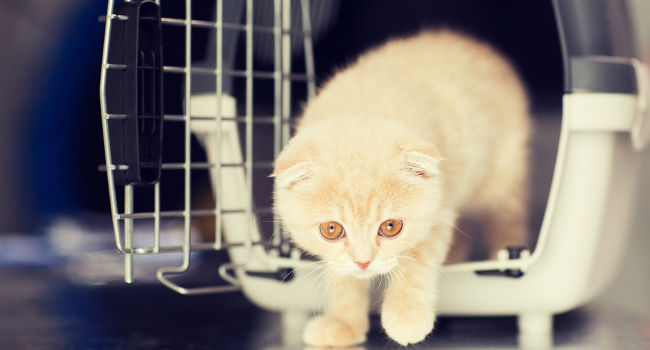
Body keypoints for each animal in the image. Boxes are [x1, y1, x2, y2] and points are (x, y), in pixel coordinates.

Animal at [268, 30, 528, 348]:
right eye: (331, 229)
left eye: (390, 227)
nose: (364, 262)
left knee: (508, 222)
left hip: (504, 176)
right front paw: (344, 323)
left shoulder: (439, 210)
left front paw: (406, 317)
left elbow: (417, 260)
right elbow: (342, 276)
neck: (362, 103)